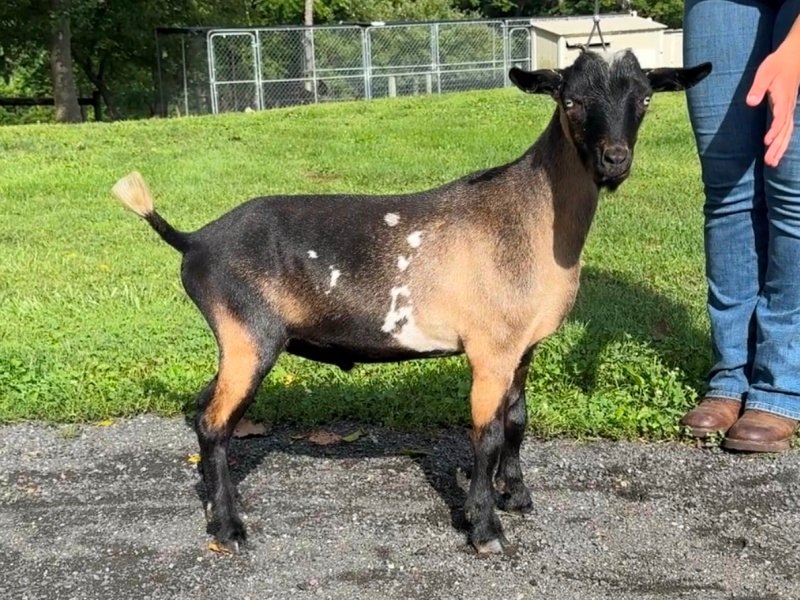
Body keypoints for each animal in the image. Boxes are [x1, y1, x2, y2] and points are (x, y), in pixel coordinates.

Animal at [111, 50, 710, 555]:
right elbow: (487, 434)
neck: (532, 217)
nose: (615, 160)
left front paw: (516, 496)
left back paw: (217, 502)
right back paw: (230, 528)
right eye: (571, 101)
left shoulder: (522, 348)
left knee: (201, 411)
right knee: (216, 423)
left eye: (645, 99)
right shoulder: (489, 349)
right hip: (248, 333)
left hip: (236, 339)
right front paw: (485, 529)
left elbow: (517, 420)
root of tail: (195, 241)